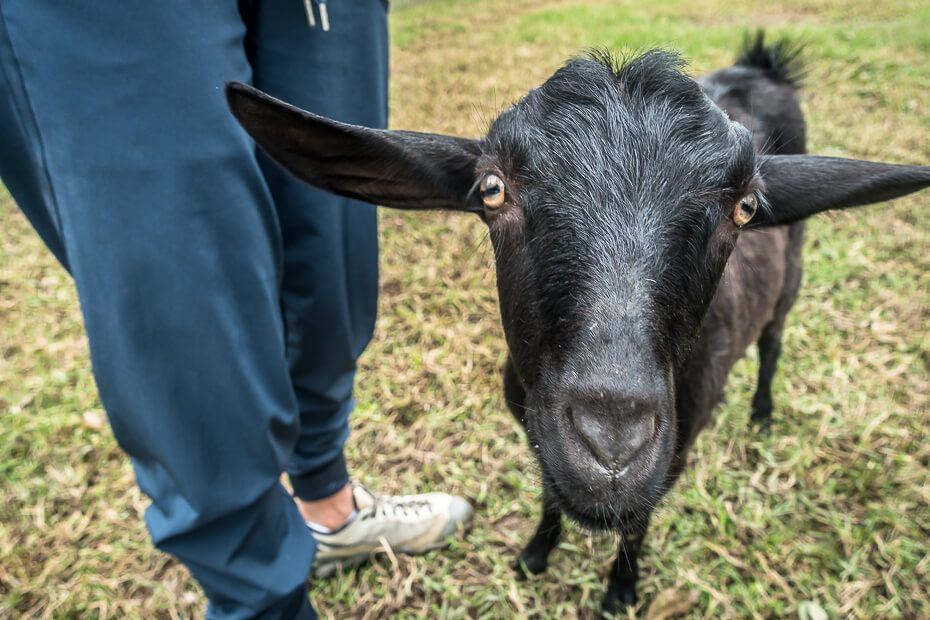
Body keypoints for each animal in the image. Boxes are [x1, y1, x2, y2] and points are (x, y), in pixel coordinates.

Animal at [225, 33, 930, 614]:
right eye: (492, 190)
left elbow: (639, 520)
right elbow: (546, 488)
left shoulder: (677, 448)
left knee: (775, 342)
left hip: (791, 277)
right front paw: (536, 554)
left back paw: (760, 414)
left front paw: (620, 591)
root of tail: (761, 66)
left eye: (746, 208)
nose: (611, 446)